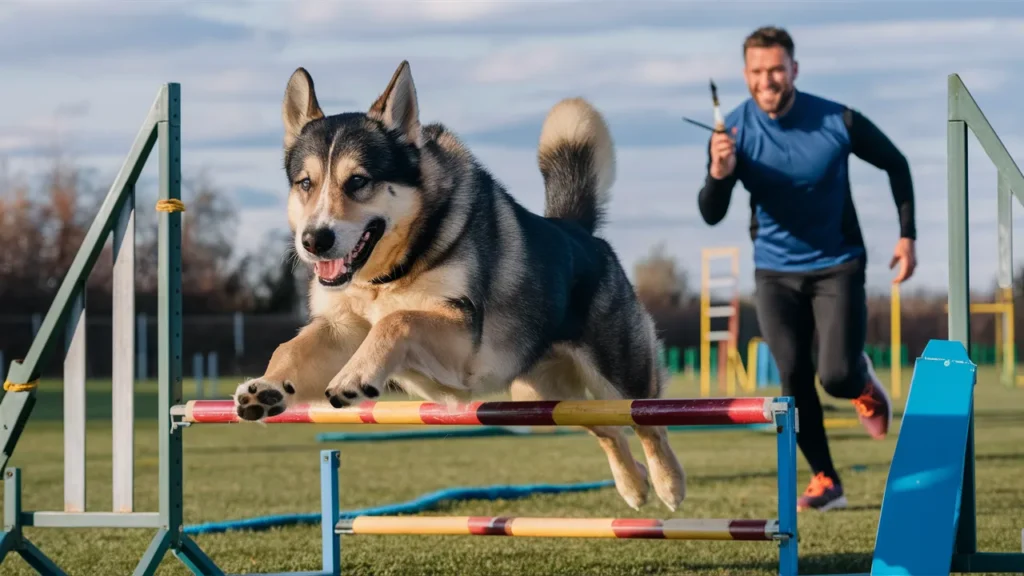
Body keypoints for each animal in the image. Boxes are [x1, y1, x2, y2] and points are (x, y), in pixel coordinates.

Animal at [232, 60, 688, 508]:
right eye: (305, 183)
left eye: (358, 181)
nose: (314, 240)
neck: (388, 275)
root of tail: (578, 231)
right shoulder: (343, 328)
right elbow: (290, 347)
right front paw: (267, 388)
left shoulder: (463, 338)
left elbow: (396, 321)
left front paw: (354, 376)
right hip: (540, 397)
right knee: (607, 427)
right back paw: (634, 485)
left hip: (620, 375)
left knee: (647, 423)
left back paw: (668, 484)